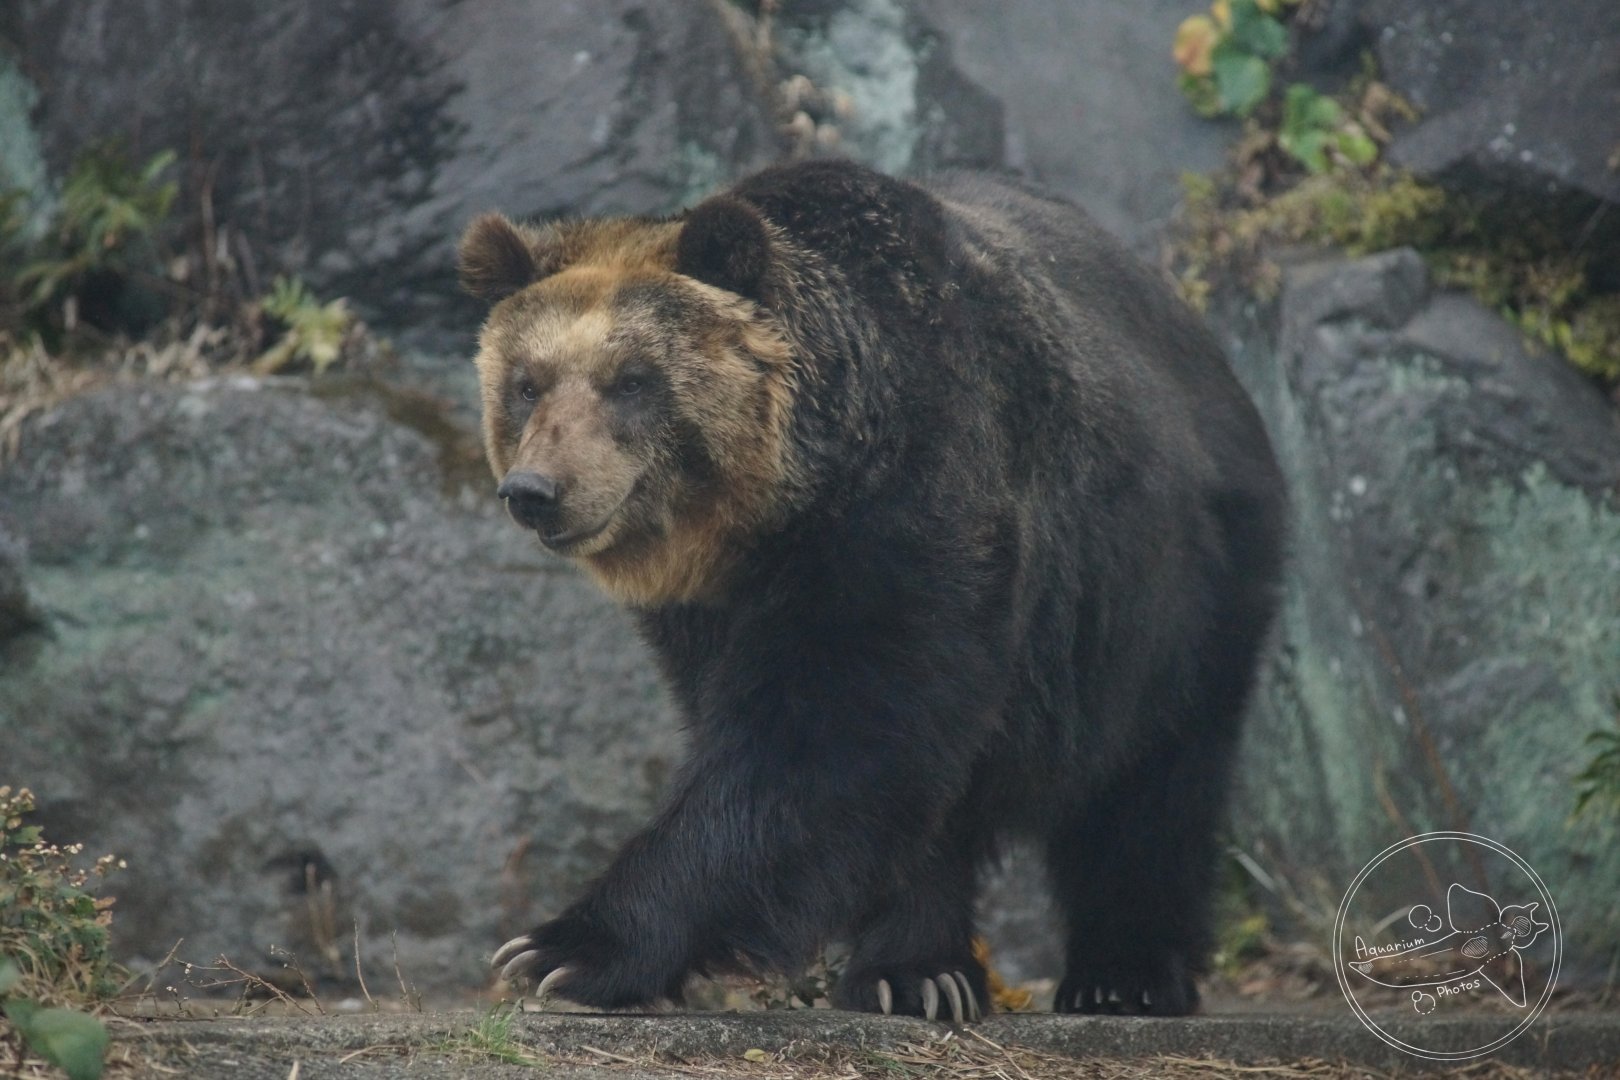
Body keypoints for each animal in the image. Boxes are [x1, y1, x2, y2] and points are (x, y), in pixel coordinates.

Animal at [456, 159, 1285, 1020]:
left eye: (631, 379)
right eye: (527, 383)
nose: (535, 490)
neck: (776, 512)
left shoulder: (912, 511)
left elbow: (819, 740)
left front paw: (566, 949)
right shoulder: (705, 615)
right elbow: (881, 780)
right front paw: (913, 972)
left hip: (1175, 592)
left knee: (1154, 783)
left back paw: (1124, 973)